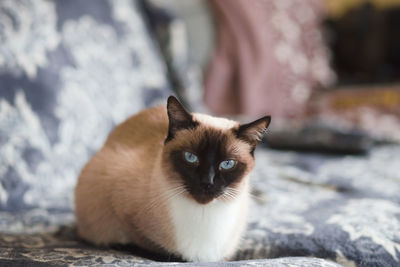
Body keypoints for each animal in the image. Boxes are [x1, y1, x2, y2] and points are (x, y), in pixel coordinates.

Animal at [73, 96, 270, 262]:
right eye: (191, 157)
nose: (207, 183)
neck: (203, 215)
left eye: (227, 164)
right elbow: (152, 248)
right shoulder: (120, 208)